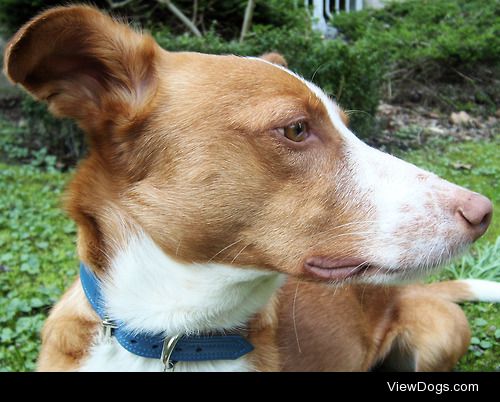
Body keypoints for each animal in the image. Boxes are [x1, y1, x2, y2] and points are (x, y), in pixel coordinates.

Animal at [2, 5, 496, 370]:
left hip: (438, 338)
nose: (482, 212)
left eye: (347, 125)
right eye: (296, 129)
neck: (177, 334)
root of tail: (419, 290)